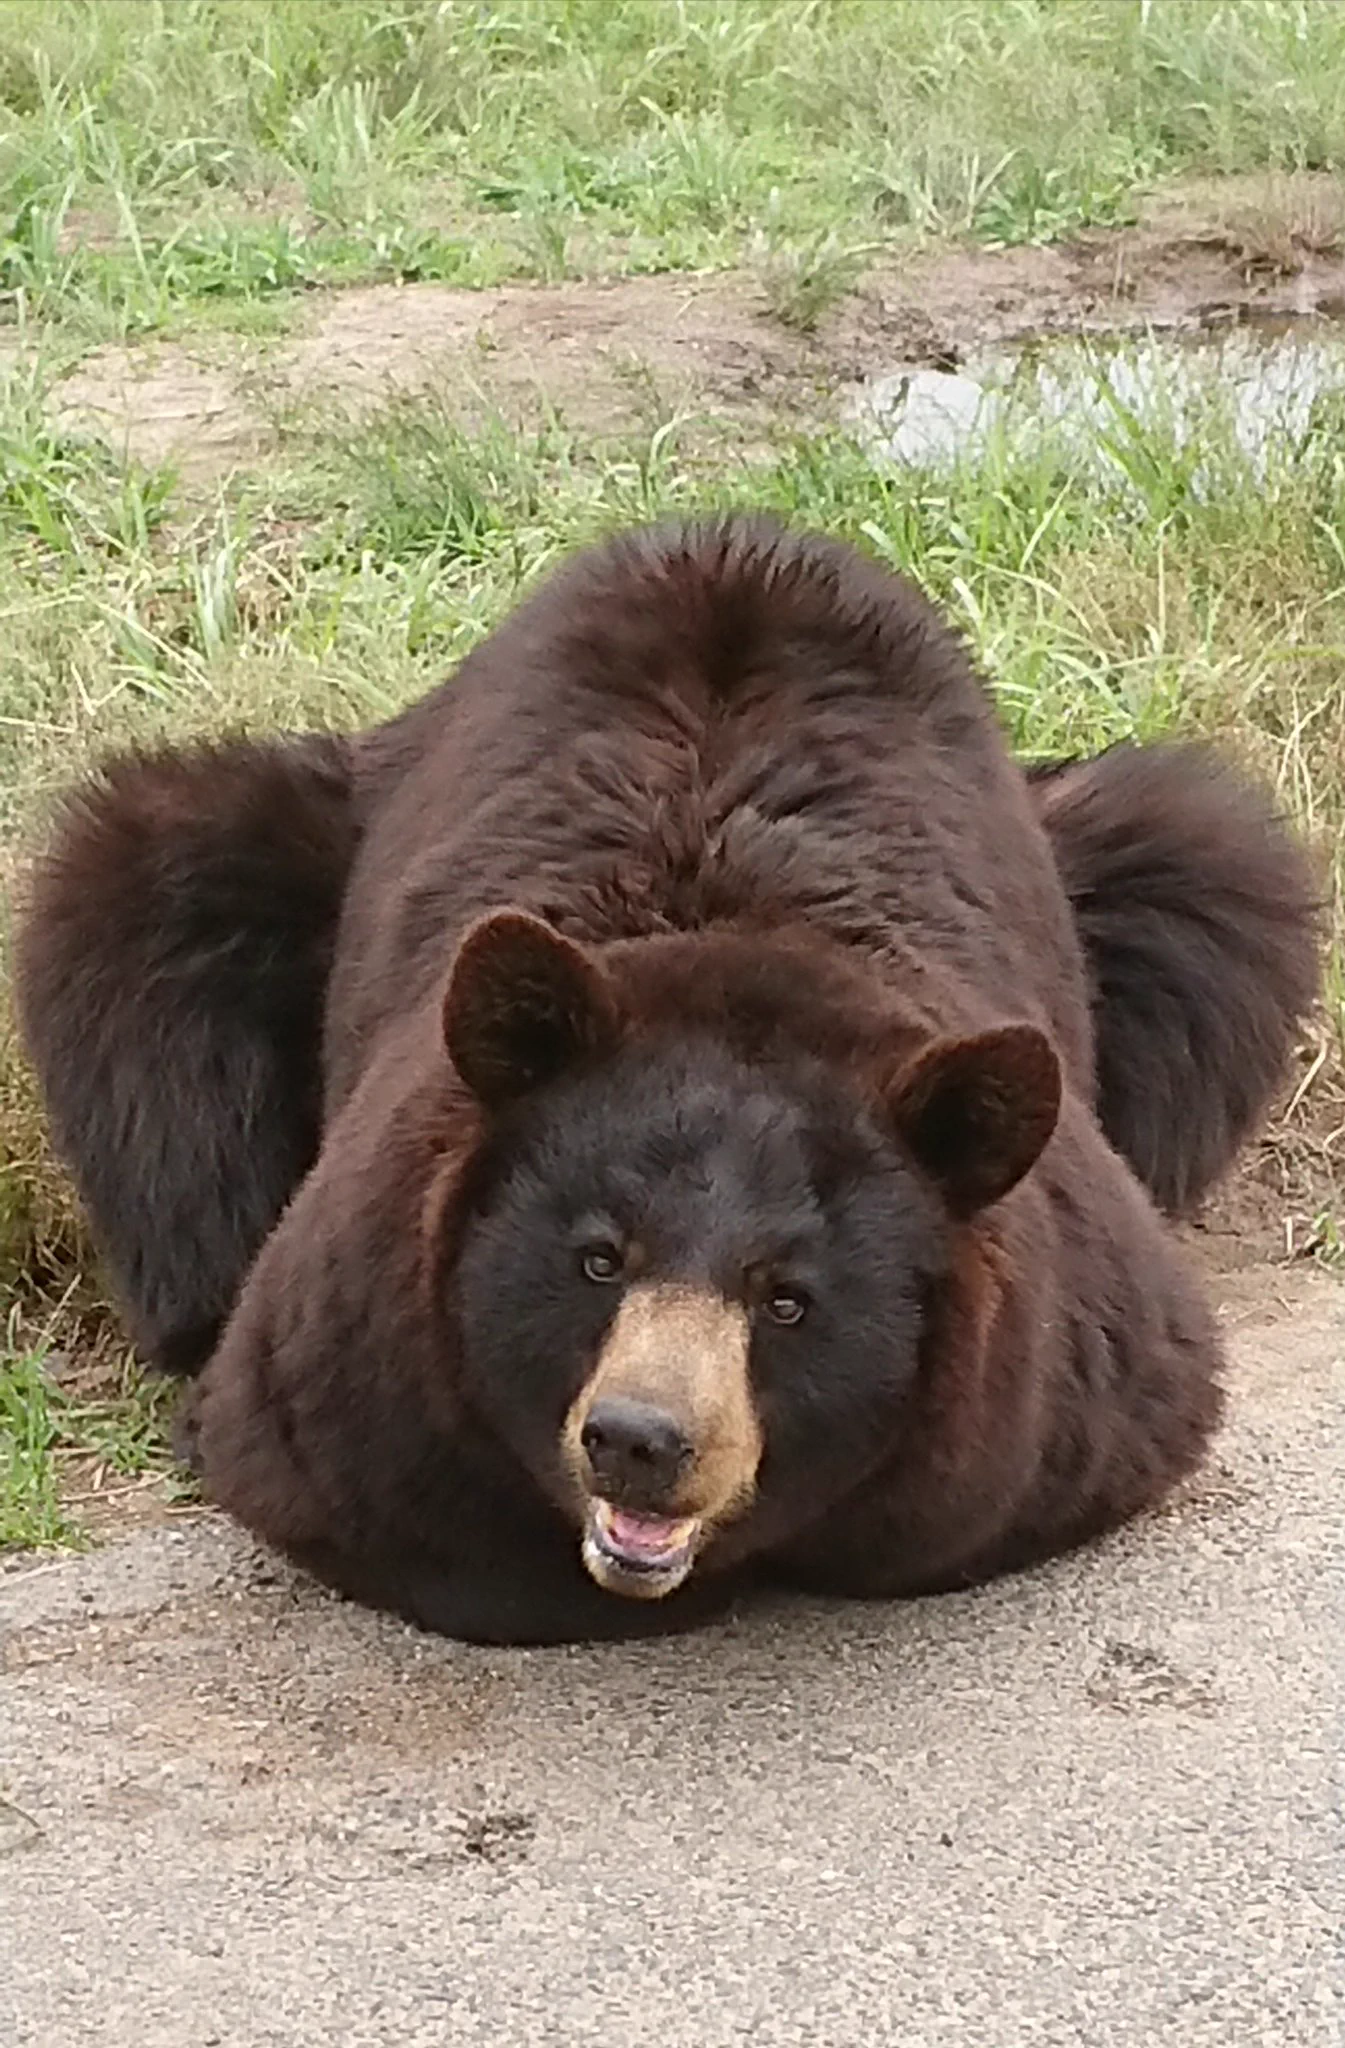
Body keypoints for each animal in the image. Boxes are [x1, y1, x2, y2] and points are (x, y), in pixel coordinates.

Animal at [15, 516, 1318, 1646]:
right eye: (598, 1257)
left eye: (788, 1297)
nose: (639, 1440)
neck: (742, 937)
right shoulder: (370, 1313)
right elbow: (358, 1475)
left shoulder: (1054, 1356)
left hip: (1144, 869)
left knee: (1212, 876)